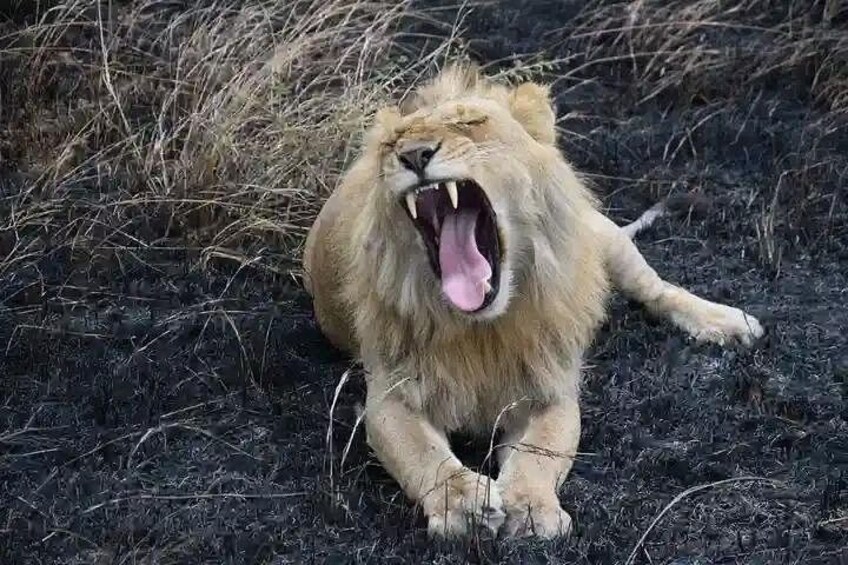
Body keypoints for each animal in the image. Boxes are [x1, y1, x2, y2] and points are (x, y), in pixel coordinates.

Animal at [302, 63, 764, 540]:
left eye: (470, 122)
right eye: (393, 143)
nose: (413, 155)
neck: (483, 330)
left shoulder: (550, 387)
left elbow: (541, 450)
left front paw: (530, 506)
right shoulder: (391, 396)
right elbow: (422, 454)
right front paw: (463, 504)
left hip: (602, 238)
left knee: (656, 289)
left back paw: (729, 324)